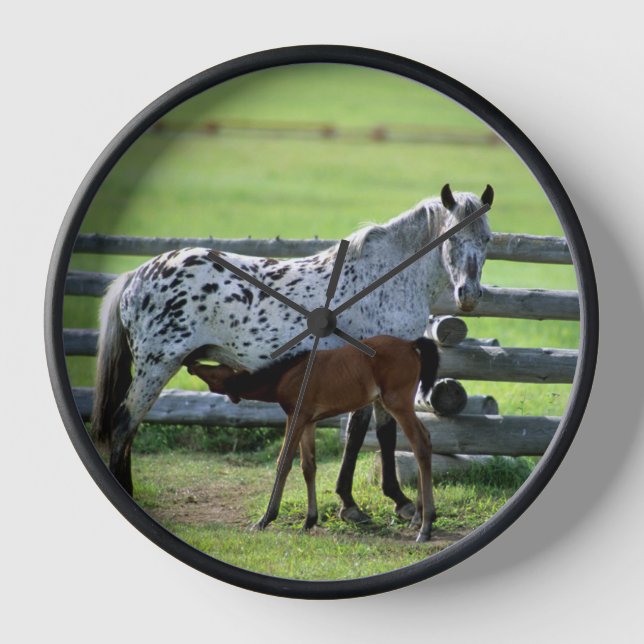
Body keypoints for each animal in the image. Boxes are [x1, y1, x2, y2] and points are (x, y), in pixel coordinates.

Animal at [90, 183, 493, 511]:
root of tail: (138, 274)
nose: (469, 295)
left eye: (487, 238)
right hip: (156, 366)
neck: (385, 277)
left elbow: (379, 433)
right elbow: (363, 434)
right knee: (124, 425)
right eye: (451, 238)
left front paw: (391, 499)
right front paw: (357, 503)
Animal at [187, 335, 440, 542]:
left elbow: (283, 462)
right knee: (425, 439)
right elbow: (308, 466)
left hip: (397, 403)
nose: (191, 363)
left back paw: (425, 526)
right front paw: (309, 520)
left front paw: (265, 519)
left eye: (214, 372)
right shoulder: (308, 421)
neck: (288, 374)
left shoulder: (296, 416)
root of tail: (410, 344)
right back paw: (419, 517)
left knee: (420, 442)